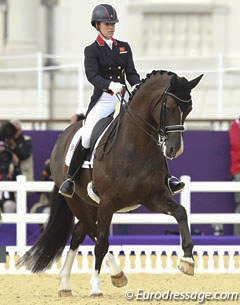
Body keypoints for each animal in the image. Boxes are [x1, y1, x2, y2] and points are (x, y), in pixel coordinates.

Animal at [19, 70, 202, 296]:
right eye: (169, 107)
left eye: (189, 109)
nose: (175, 149)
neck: (136, 146)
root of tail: (65, 133)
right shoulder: (107, 203)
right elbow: (102, 243)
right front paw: (96, 287)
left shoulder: (154, 198)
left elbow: (181, 213)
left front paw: (187, 260)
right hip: (78, 202)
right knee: (92, 232)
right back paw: (115, 273)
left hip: (89, 204)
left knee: (79, 233)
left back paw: (65, 284)